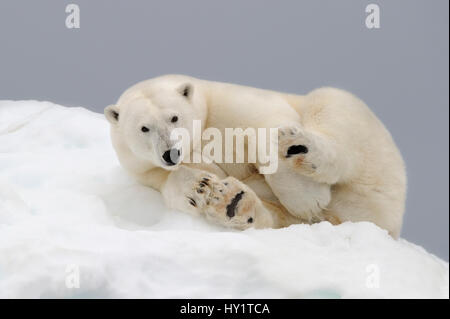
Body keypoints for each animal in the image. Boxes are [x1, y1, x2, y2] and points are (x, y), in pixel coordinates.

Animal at [105, 75, 408, 239]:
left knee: (333, 111)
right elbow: (171, 181)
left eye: (174, 117)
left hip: (370, 144)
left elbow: (266, 126)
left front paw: (308, 199)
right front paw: (200, 187)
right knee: (279, 217)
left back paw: (301, 149)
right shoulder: (143, 168)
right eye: (144, 128)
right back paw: (233, 203)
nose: (171, 152)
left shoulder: (231, 103)